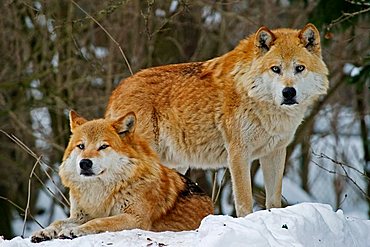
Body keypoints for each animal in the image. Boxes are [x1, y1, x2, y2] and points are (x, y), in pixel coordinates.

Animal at [105, 23, 330, 216]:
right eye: (276, 69)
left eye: (299, 68)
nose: (288, 92)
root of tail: (117, 90)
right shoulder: (238, 154)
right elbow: (244, 203)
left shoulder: (275, 152)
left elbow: (273, 200)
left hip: (176, 165)